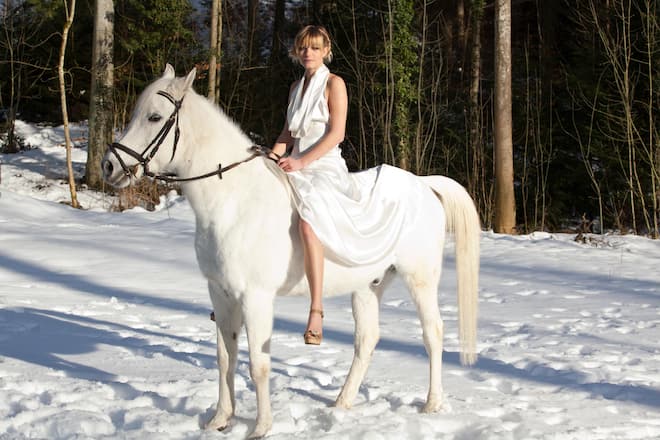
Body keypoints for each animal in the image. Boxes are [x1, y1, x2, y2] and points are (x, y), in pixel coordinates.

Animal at [102, 64, 481, 439]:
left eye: (154, 117)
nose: (109, 165)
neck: (234, 200)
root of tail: (425, 185)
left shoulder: (255, 298)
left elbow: (258, 364)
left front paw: (260, 428)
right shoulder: (220, 294)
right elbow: (225, 359)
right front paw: (219, 420)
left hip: (420, 280)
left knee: (433, 334)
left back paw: (431, 404)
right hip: (368, 286)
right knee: (367, 340)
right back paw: (342, 403)